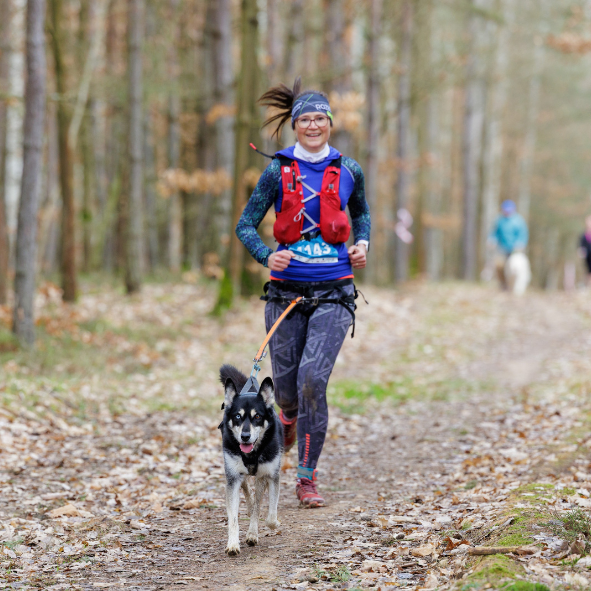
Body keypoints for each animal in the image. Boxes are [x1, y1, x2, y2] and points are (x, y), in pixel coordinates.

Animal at [219, 364, 283, 556]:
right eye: (237, 416)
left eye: (257, 417)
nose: (245, 436)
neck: (252, 453)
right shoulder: (232, 478)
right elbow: (233, 518)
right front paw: (233, 544)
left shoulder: (271, 475)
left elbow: (269, 515)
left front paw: (268, 525)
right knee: (247, 489)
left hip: (261, 477)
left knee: (257, 501)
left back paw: (253, 532)